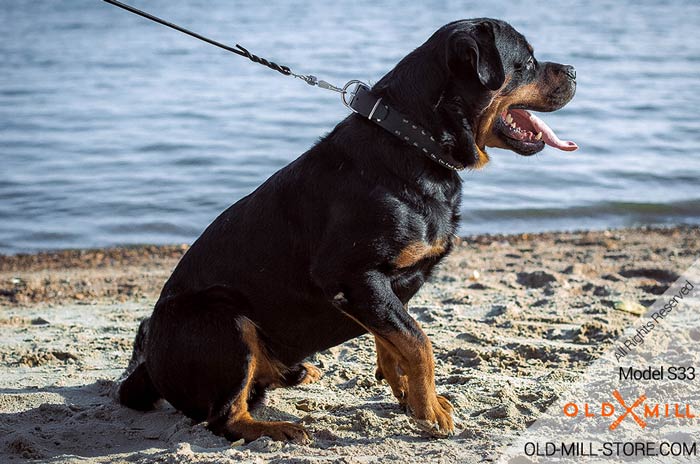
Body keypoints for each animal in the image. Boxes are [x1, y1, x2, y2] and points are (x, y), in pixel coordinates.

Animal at [120, 17, 576, 442]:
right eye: (529, 62)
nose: (573, 69)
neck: (412, 140)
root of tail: (148, 369)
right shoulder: (354, 277)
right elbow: (419, 342)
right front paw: (429, 410)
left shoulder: (381, 290)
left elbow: (394, 340)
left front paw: (409, 395)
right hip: (224, 319)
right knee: (225, 416)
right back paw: (277, 429)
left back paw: (293, 375)